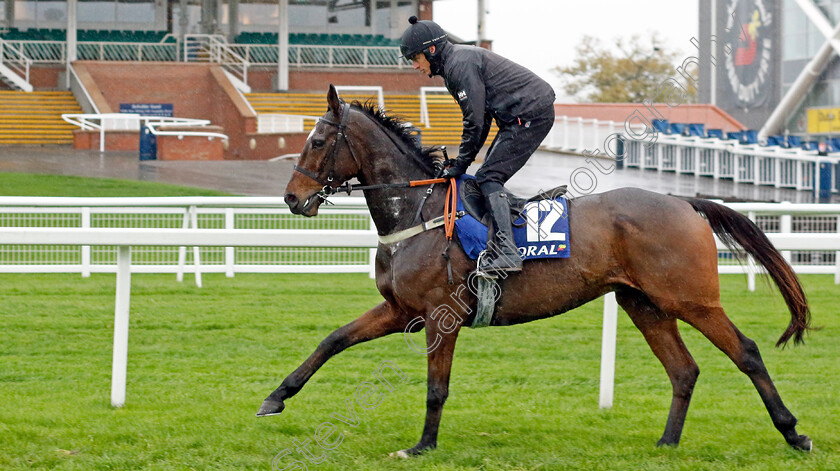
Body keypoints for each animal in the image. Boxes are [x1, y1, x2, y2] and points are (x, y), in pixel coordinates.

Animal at [258, 85, 812, 458]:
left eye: (318, 140)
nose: (291, 199)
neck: (418, 211)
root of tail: (684, 202)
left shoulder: (441, 315)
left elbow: (436, 387)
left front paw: (422, 446)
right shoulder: (400, 310)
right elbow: (332, 339)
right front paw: (274, 398)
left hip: (691, 299)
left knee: (747, 352)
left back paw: (793, 431)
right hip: (644, 303)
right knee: (684, 370)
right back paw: (667, 442)